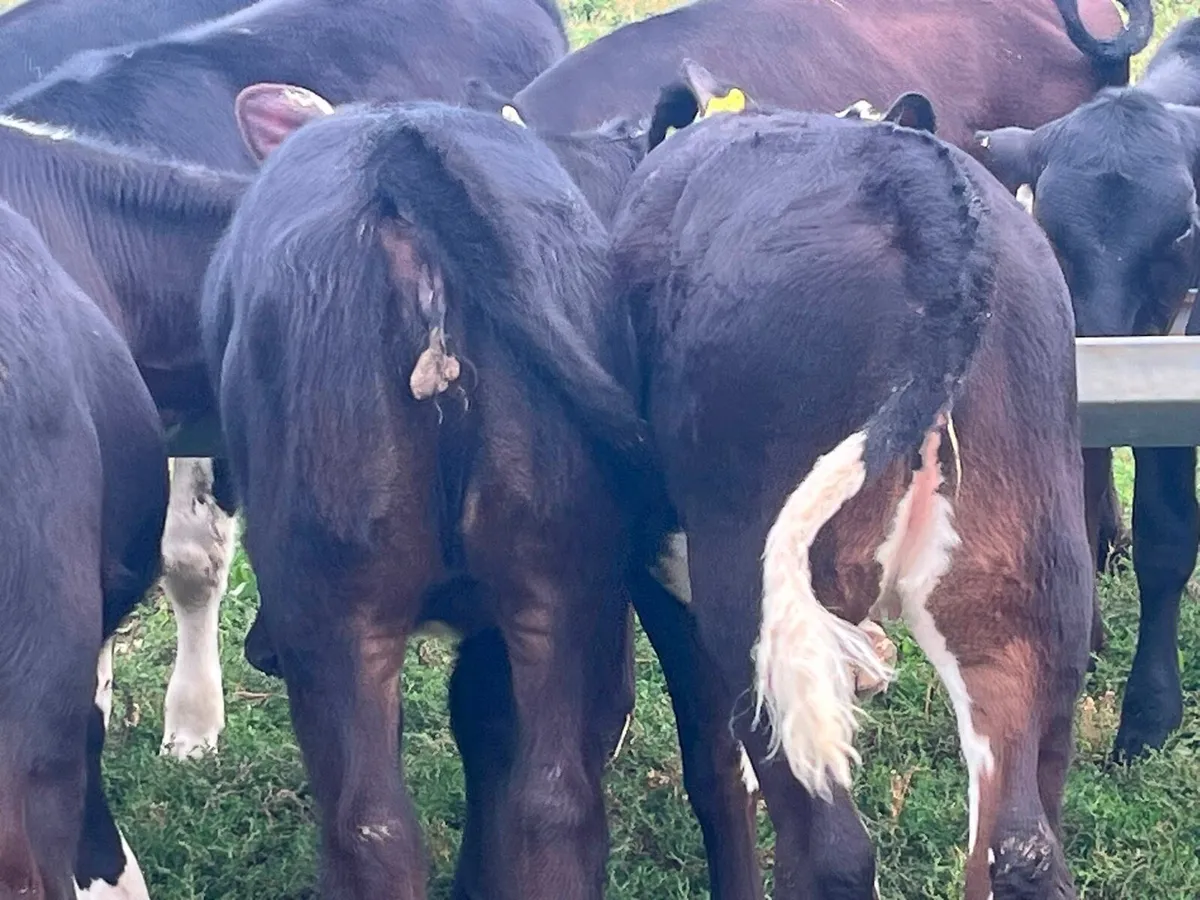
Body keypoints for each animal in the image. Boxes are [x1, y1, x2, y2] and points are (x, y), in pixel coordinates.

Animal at [607, 67, 1093, 900]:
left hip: (755, 601)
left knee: (830, 850)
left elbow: (716, 776)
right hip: (1030, 597)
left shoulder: (657, 568)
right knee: (1023, 843)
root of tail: (925, 198)